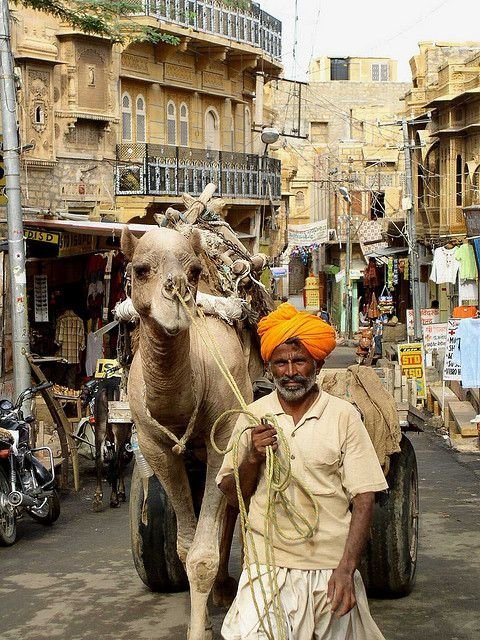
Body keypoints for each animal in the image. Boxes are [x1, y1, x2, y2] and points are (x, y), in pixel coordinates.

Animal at [121, 202, 266, 636]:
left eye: (195, 271)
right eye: (141, 269)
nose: (177, 293)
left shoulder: (226, 435)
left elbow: (203, 552)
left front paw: (200, 628)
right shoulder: (156, 447)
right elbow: (186, 548)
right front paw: (198, 617)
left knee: (232, 506)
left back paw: (227, 587)